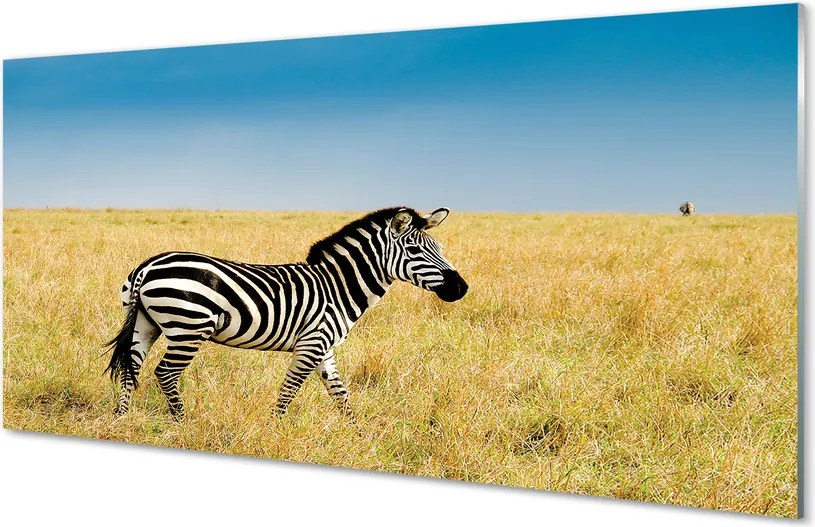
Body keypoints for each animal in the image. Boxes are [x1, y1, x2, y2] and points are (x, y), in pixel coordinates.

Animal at [105, 207, 468, 421]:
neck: (338, 287)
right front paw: (274, 426)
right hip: (188, 327)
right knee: (165, 373)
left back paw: (121, 418)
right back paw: (182, 422)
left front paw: (356, 432)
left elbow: (340, 393)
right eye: (414, 250)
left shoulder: (324, 347)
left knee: (131, 368)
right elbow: (290, 390)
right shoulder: (312, 344)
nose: (461, 288)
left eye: (440, 249)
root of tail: (148, 267)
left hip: (145, 324)